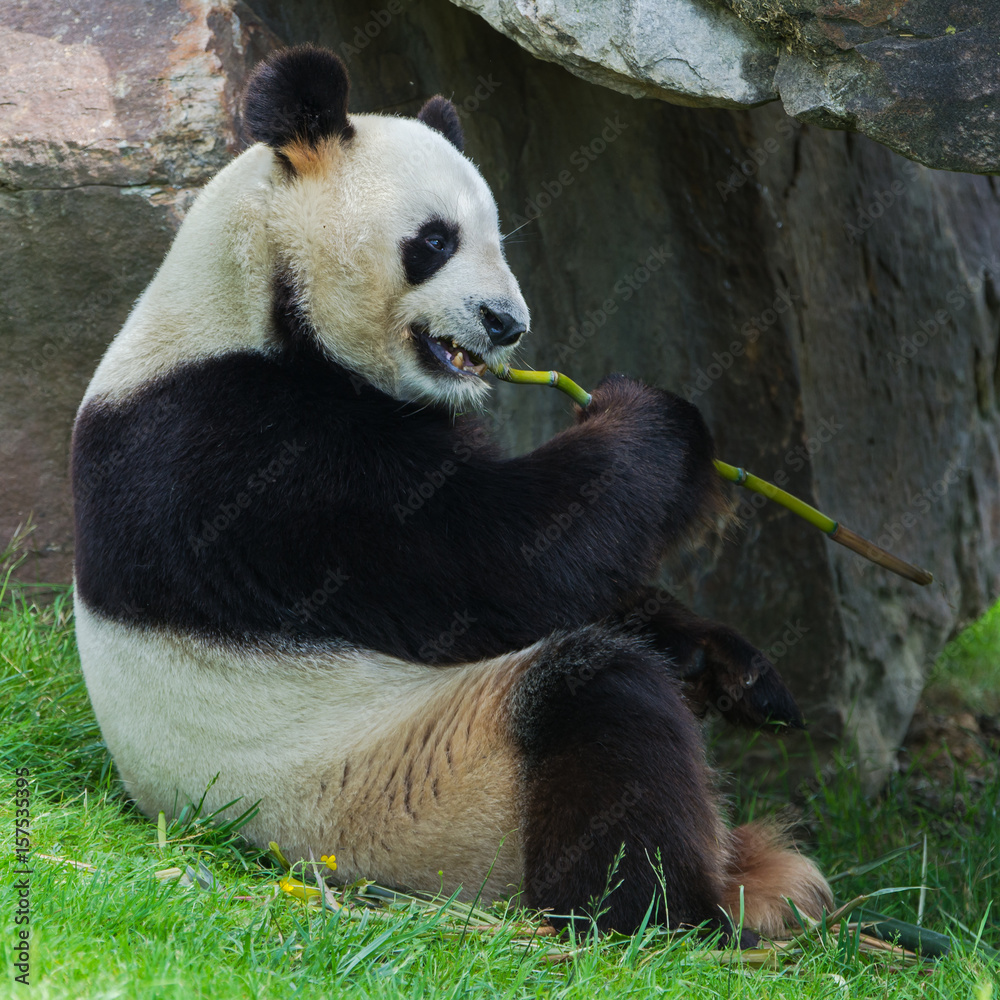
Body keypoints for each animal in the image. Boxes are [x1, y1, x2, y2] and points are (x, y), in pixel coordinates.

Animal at [71, 45, 831, 940]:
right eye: (434, 241)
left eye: (495, 237)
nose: (506, 323)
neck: (250, 297)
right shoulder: (245, 458)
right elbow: (506, 562)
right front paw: (659, 421)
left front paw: (734, 669)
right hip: (409, 796)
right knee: (590, 701)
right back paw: (684, 910)